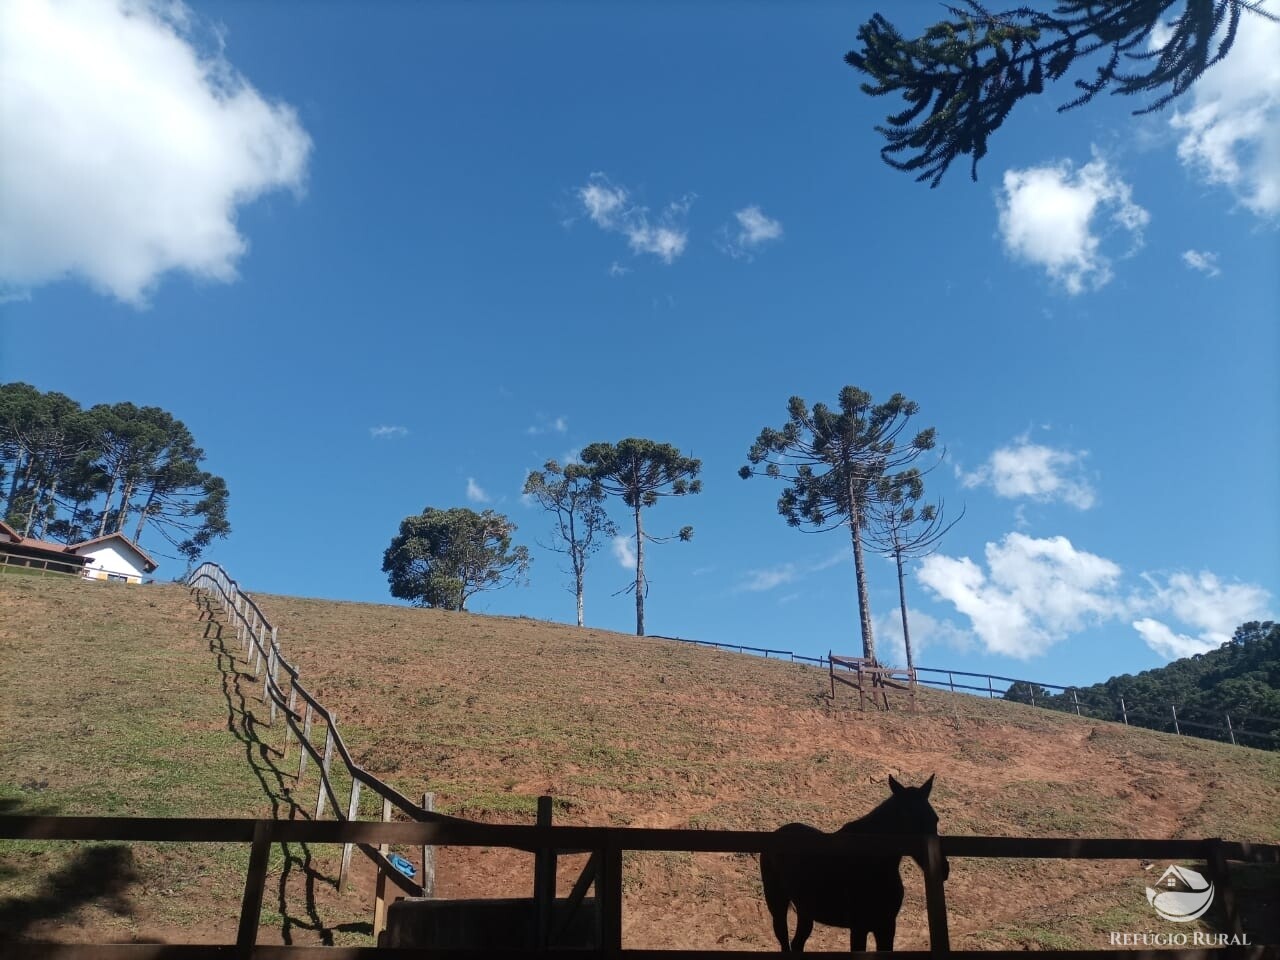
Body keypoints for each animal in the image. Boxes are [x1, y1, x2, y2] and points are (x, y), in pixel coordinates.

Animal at [757, 778, 952, 952]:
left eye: (935, 819)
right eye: (908, 818)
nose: (944, 869)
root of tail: (778, 833)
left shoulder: (887, 927)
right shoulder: (859, 928)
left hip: (806, 910)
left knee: (797, 944)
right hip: (777, 904)